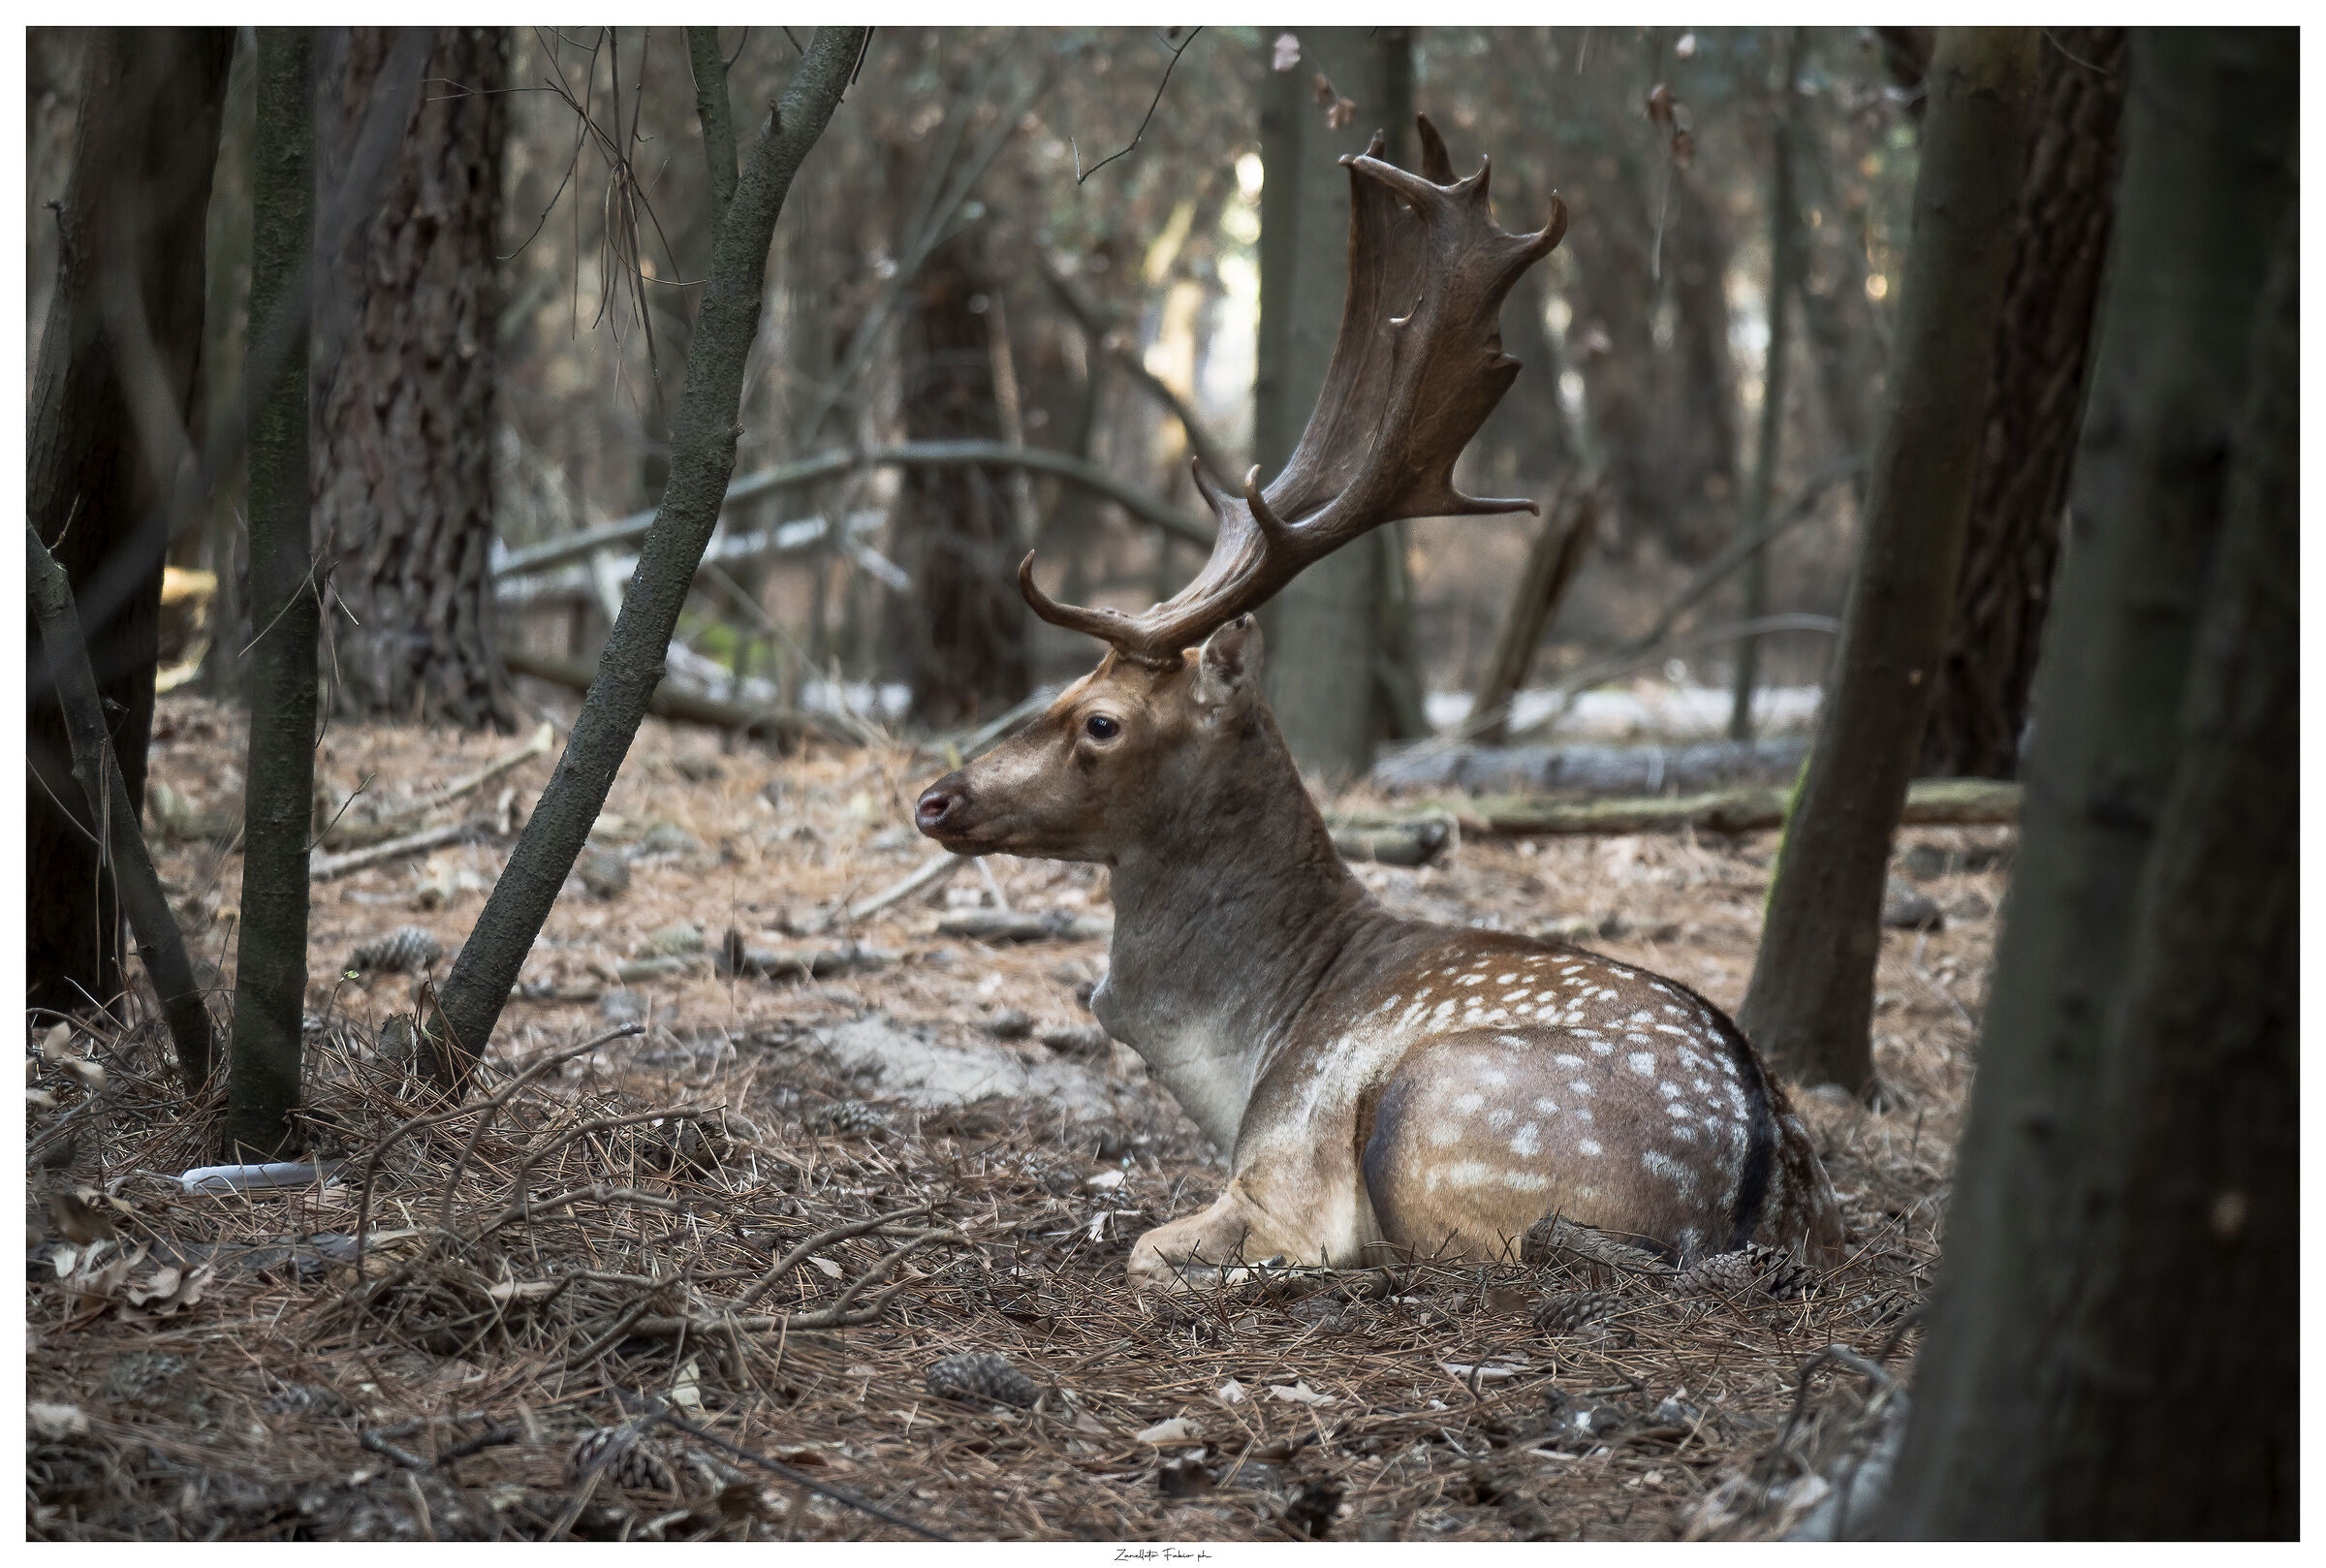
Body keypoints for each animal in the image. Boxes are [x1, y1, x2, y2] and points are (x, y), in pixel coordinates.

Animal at [915, 118, 1846, 1293]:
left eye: (1101, 720)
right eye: (1069, 688)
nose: (938, 799)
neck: (1247, 1056)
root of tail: (1743, 1197)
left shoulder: (1278, 1174)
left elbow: (1152, 1248)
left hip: (1433, 1114)